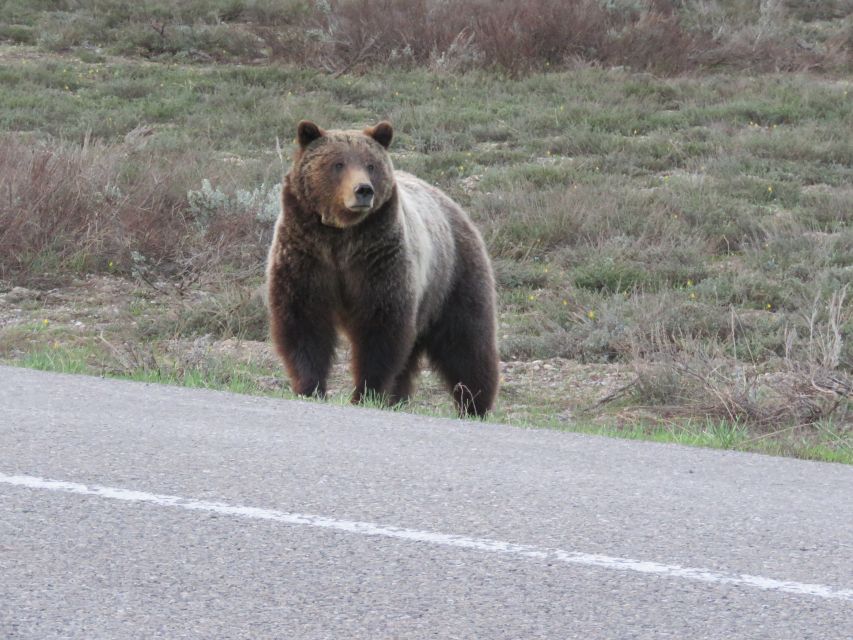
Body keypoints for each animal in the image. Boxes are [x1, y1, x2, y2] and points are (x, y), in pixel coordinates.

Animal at [264, 121, 492, 416]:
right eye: (338, 163)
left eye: (370, 164)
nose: (363, 190)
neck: (341, 235)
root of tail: (452, 204)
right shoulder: (307, 254)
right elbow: (303, 319)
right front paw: (310, 387)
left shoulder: (378, 258)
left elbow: (380, 326)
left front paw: (366, 393)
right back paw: (399, 398)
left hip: (452, 276)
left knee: (467, 342)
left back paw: (475, 404)